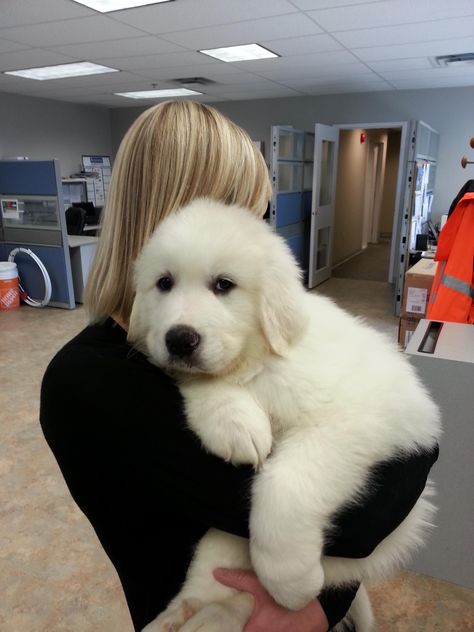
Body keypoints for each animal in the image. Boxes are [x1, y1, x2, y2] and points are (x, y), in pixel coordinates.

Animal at [130, 198, 440, 632]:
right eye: (164, 283)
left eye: (223, 285)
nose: (180, 340)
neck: (260, 361)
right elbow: (203, 383)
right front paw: (235, 425)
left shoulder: (352, 416)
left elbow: (285, 482)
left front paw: (291, 581)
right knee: (212, 577)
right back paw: (182, 615)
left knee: (247, 594)